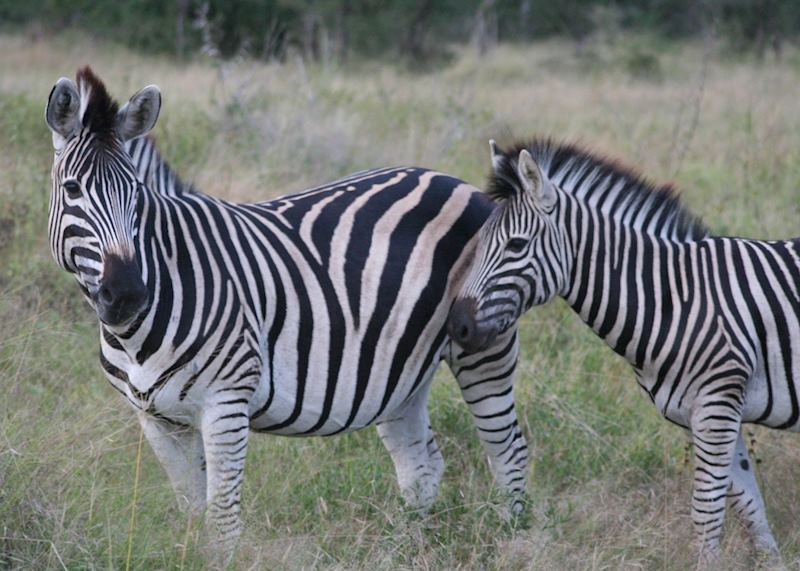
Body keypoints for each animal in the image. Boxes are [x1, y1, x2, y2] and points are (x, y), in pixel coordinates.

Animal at [44, 67, 529, 565]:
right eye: (72, 190)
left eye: (137, 194)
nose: (126, 294)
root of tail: (453, 181)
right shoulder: (157, 419)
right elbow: (192, 512)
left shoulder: (226, 401)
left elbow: (222, 520)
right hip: (402, 372)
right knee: (421, 464)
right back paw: (406, 548)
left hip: (484, 344)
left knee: (507, 449)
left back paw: (512, 538)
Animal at [448, 138, 797, 564]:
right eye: (478, 243)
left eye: (516, 245)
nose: (457, 326)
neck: (673, 299)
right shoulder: (711, 412)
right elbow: (750, 509)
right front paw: (771, 564)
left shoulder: (716, 405)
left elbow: (706, 513)